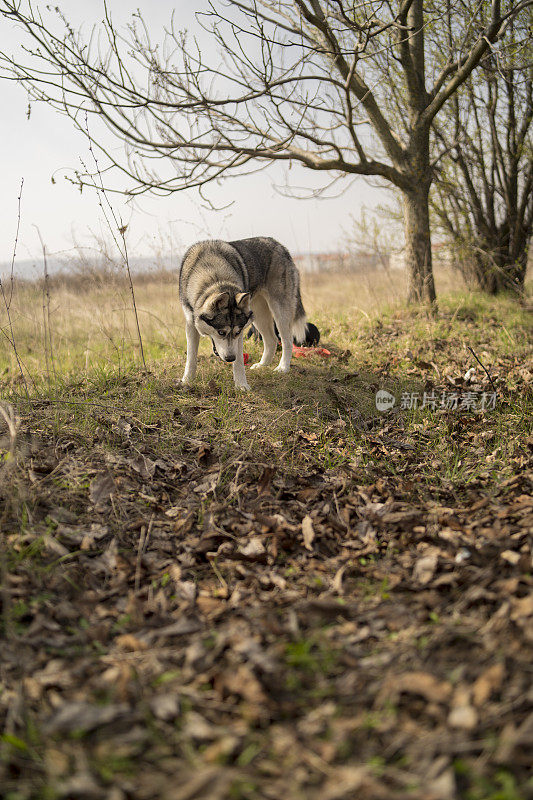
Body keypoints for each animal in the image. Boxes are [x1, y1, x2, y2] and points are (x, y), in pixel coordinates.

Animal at [179, 236, 306, 390]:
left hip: (280, 311)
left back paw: (283, 367)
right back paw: (263, 365)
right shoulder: (191, 324)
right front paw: (187, 380)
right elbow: (191, 357)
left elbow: (239, 361)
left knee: (287, 341)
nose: (229, 358)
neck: (214, 275)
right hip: (258, 316)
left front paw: (241, 385)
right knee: (272, 340)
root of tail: (279, 245)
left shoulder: (238, 336)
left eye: (237, 332)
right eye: (221, 332)